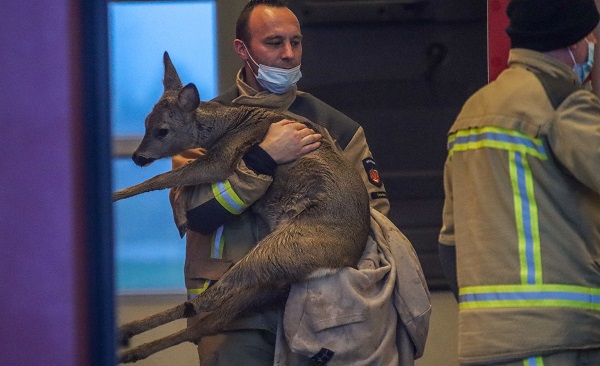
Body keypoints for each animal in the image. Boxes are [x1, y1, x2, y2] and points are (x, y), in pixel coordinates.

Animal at [112, 52, 370, 364]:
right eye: (145, 122)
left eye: (162, 131)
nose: (137, 157)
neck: (231, 125)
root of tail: (344, 260)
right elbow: (182, 185)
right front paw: (182, 219)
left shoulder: (222, 159)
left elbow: (162, 178)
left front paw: (115, 195)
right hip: (275, 279)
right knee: (213, 319)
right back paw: (128, 339)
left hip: (285, 246)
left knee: (206, 301)